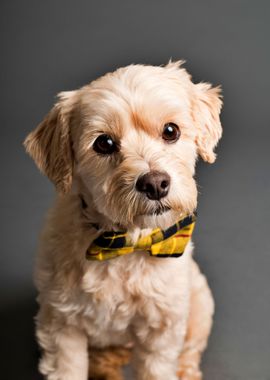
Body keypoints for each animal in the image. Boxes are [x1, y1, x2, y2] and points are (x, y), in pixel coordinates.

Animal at [24, 60, 223, 378]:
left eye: (171, 130)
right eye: (104, 143)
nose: (155, 183)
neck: (123, 244)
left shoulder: (162, 327)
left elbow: (158, 367)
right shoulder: (60, 324)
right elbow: (68, 368)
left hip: (199, 305)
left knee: (190, 351)